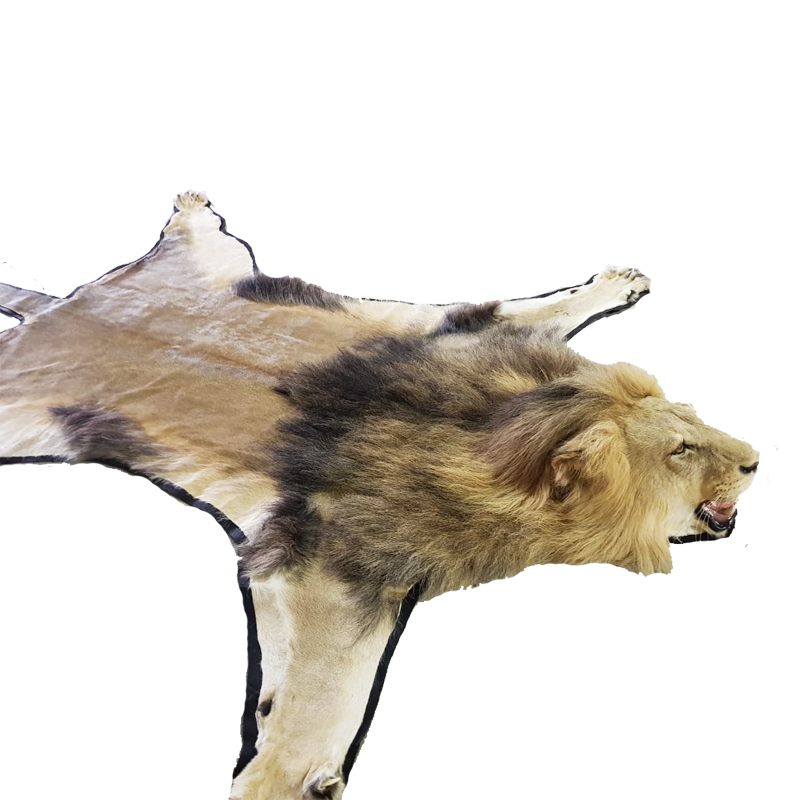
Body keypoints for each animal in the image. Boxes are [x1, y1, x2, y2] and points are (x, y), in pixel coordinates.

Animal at [0, 192, 760, 800]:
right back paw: (190, 205)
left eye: (694, 421)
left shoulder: (462, 342)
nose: (757, 463)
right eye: (681, 451)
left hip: (217, 275)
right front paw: (274, 781)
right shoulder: (335, 557)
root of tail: (58, 307)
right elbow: (330, 690)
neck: (505, 432)